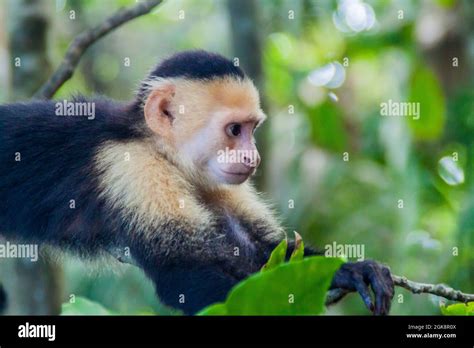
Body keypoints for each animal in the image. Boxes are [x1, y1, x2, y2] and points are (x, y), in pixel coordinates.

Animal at [0, 50, 394, 314]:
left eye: (252, 129)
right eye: (234, 130)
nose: (252, 158)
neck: (158, 148)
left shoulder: (216, 181)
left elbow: (266, 252)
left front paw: (349, 270)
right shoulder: (134, 168)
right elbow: (182, 272)